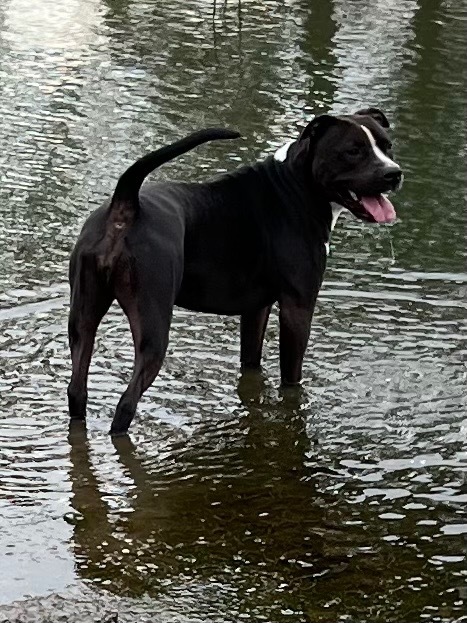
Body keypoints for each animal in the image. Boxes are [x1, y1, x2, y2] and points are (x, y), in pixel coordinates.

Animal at [67, 107, 404, 436]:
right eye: (352, 151)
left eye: (387, 145)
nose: (394, 173)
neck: (296, 187)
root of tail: (126, 205)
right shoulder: (298, 307)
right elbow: (291, 378)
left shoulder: (256, 308)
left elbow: (251, 360)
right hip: (153, 327)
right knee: (127, 402)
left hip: (83, 319)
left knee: (77, 389)